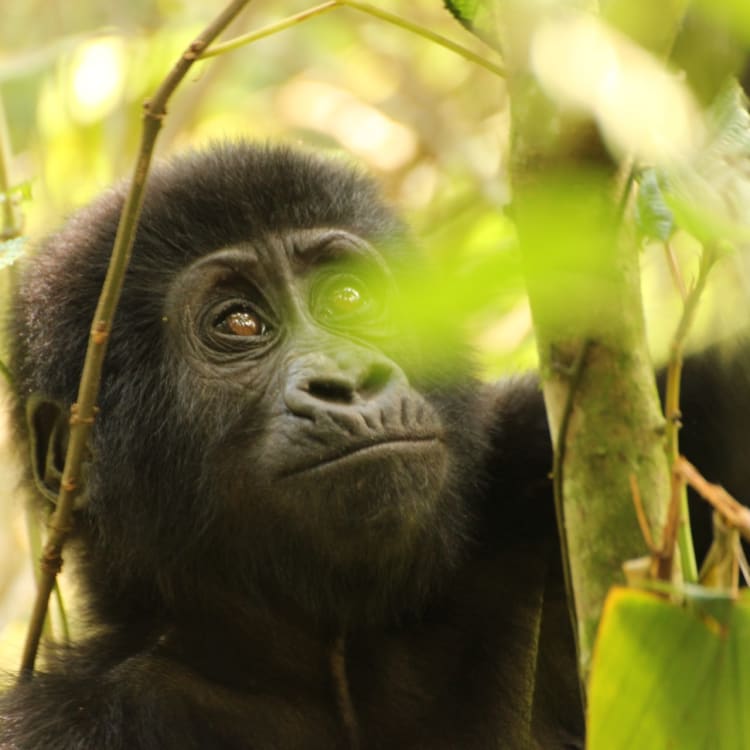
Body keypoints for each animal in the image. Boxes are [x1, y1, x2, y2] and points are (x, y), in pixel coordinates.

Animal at [0, 142, 748, 750]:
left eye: (349, 298)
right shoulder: (68, 720)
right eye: (238, 323)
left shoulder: (526, 453)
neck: (339, 656)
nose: (349, 383)